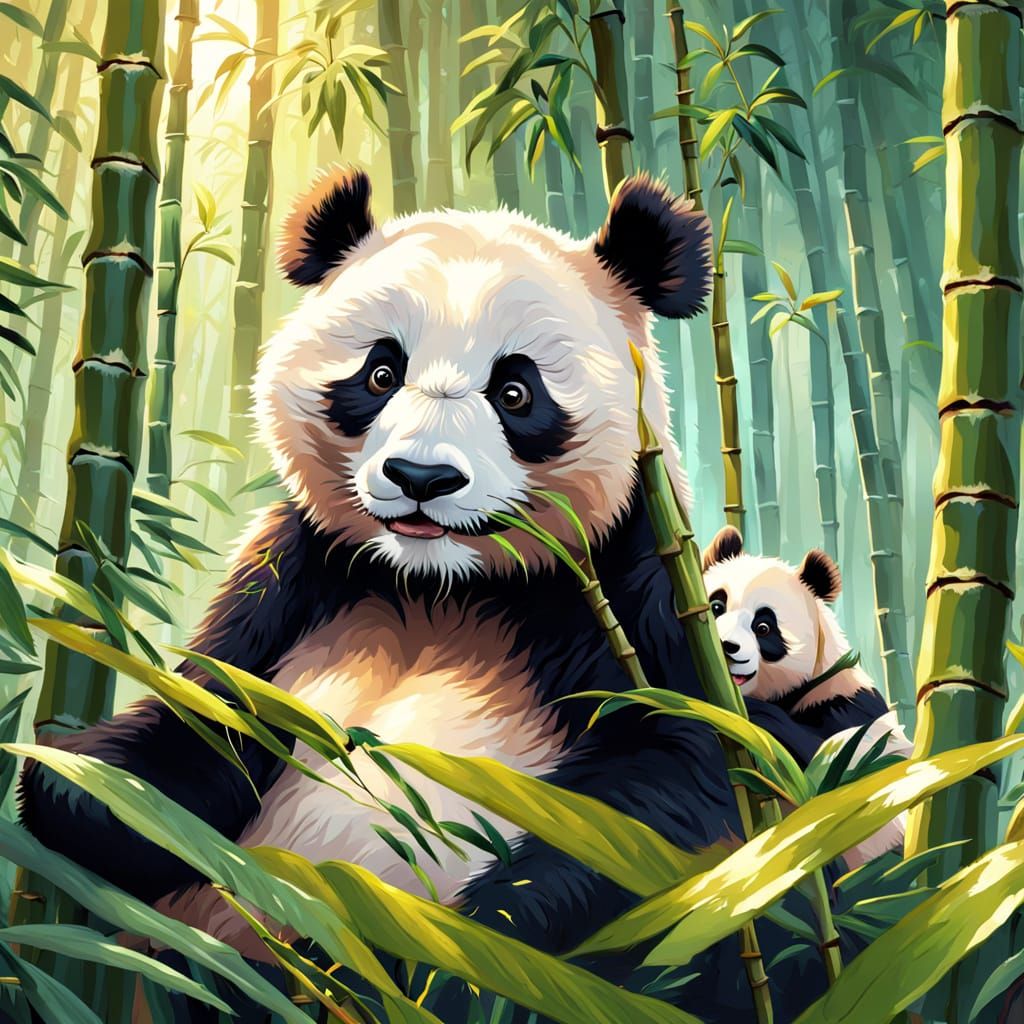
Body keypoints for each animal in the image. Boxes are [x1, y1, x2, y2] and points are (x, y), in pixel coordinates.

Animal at [20, 168, 835, 1023]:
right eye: (381, 374)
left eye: (515, 391)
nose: (421, 478)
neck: (441, 581)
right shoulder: (300, 576)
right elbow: (212, 716)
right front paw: (95, 791)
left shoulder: (638, 588)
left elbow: (673, 779)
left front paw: (450, 946)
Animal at [702, 525, 913, 865]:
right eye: (716, 606)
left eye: (763, 627)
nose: (726, 647)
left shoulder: (849, 704)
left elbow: (838, 762)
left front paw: (753, 714)